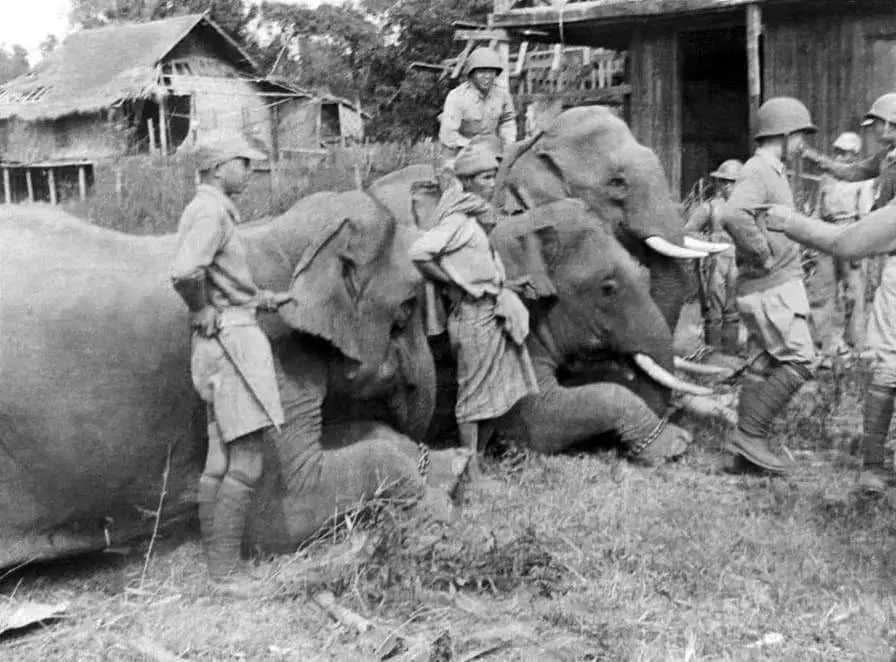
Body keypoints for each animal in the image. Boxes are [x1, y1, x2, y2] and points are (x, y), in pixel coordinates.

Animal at [0, 193, 462, 572]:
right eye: (405, 310)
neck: (279, 235)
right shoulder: (272, 354)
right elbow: (280, 512)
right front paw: (441, 496)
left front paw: (447, 466)